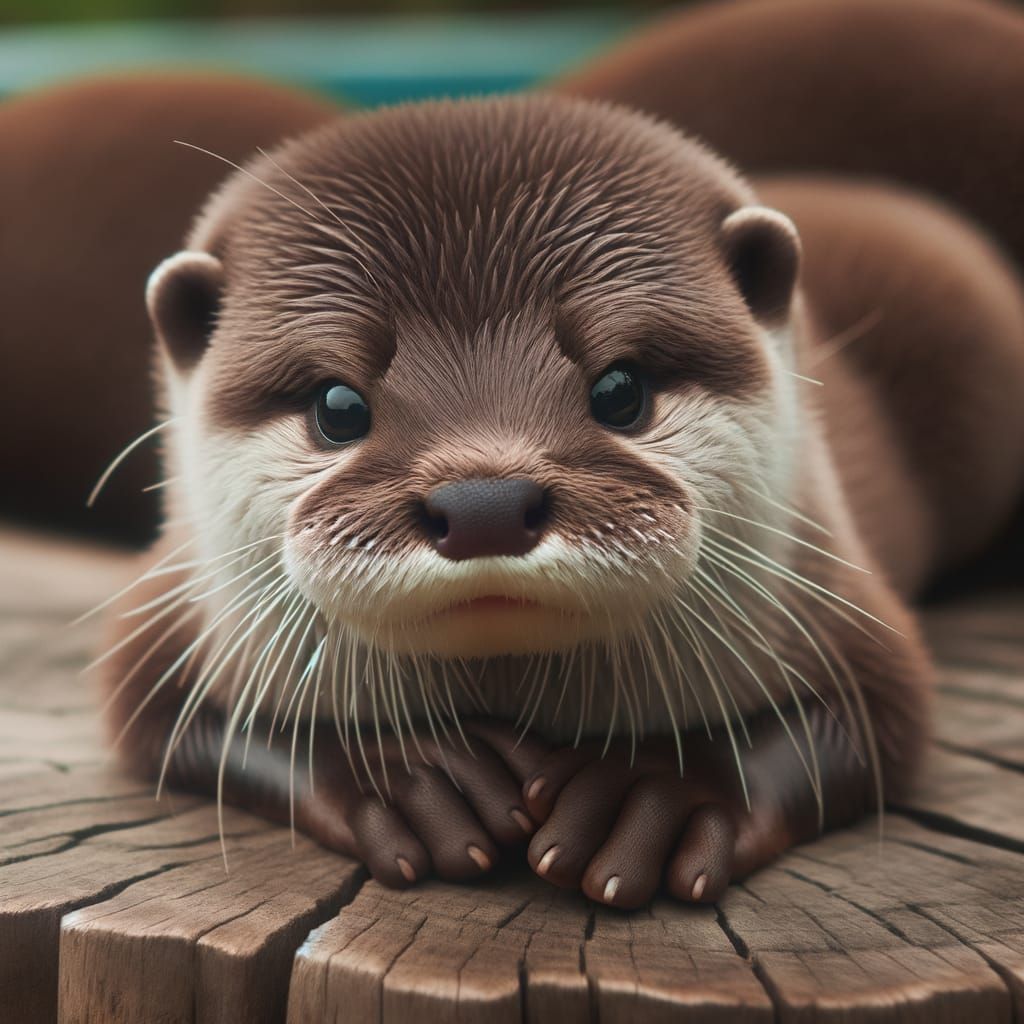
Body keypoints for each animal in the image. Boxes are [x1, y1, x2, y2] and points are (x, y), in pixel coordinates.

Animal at [91, 78, 1024, 910]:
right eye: (337, 406)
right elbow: (167, 725)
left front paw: (652, 793)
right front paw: (408, 774)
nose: (484, 505)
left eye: (621, 388)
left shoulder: (841, 600)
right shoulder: (166, 619)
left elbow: (878, 722)